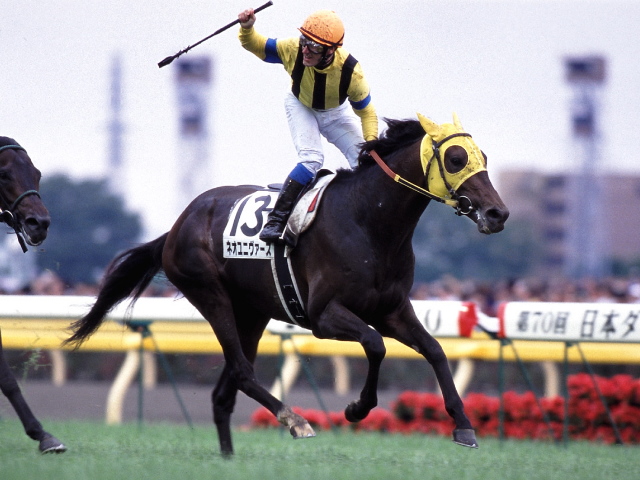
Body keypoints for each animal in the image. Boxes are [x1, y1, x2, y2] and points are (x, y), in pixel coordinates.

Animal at [65, 113, 509, 455]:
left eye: (484, 157)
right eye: (455, 158)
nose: (498, 213)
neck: (370, 222)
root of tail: (177, 225)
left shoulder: (392, 310)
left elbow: (435, 350)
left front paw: (464, 425)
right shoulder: (324, 316)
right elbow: (374, 344)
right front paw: (356, 409)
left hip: (252, 313)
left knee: (224, 391)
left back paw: (229, 458)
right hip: (211, 295)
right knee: (242, 372)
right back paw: (295, 420)